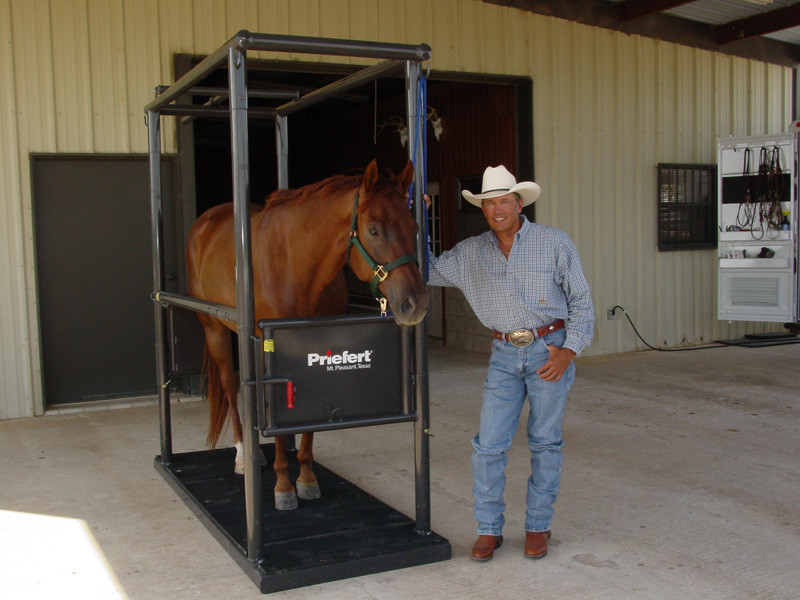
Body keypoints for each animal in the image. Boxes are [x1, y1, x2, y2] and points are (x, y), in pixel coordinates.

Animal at [186, 159, 428, 510]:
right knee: (231, 388)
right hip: (215, 330)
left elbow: (311, 422)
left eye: (414, 227)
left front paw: (307, 477)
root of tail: (206, 221)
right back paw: (244, 456)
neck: (296, 267)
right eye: (373, 230)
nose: (415, 304)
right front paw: (283, 486)